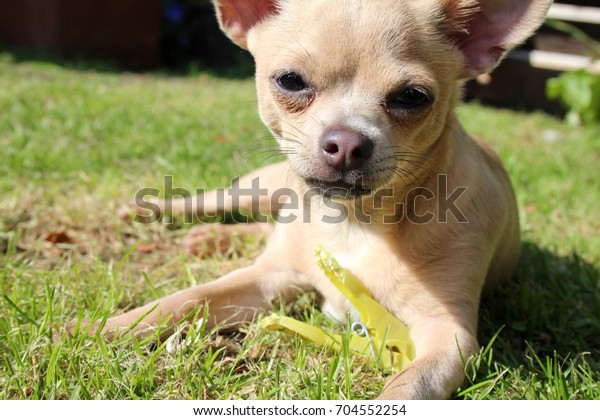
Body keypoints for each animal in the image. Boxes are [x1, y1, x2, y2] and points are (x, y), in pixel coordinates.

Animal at [68, 0, 552, 400]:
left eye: (413, 97)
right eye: (290, 81)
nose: (347, 143)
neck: (355, 223)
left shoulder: (447, 335)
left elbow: (409, 386)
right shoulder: (266, 280)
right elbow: (184, 299)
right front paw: (96, 329)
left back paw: (210, 239)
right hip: (260, 186)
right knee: (217, 202)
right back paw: (157, 211)